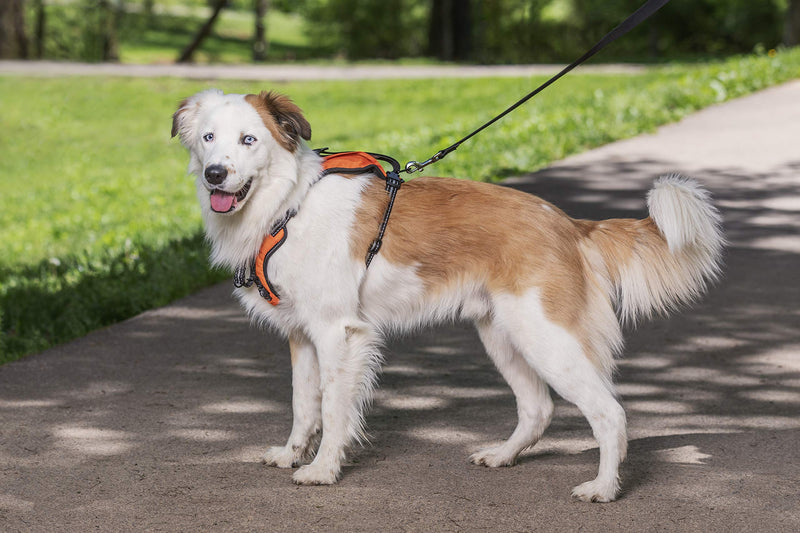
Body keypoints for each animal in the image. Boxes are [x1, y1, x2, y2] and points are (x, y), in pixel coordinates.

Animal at [172, 89, 720, 500]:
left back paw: (604, 487)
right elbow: (303, 404)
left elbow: (331, 409)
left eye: (249, 140)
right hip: (504, 336)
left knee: (610, 413)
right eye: (208, 138)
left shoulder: (337, 333)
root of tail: (567, 223)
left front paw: (323, 470)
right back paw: (503, 456)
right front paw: (291, 455)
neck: (290, 204)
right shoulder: (303, 335)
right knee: (537, 409)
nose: (215, 174)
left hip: (547, 338)